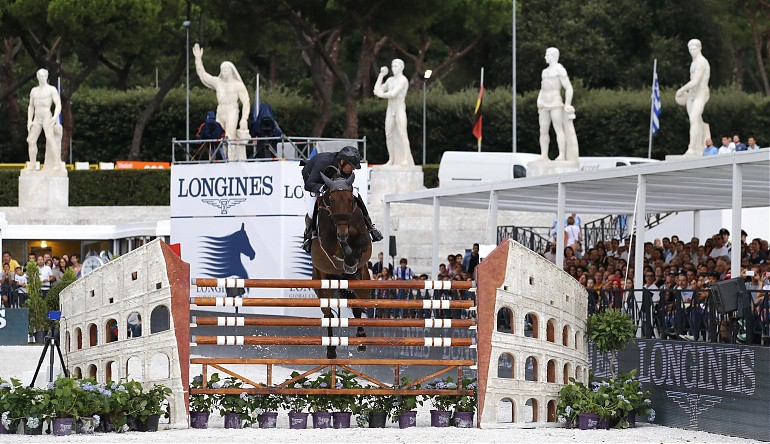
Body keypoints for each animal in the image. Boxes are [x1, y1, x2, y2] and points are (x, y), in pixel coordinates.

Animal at [310, 168, 374, 360]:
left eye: (350, 200)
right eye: (331, 200)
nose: (342, 230)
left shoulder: (362, 234)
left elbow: (361, 240)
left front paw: (351, 261)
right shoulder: (328, 241)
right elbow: (339, 245)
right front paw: (346, 258)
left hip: (363, 283)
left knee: (358, 307)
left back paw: (361, 339)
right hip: (323, 286)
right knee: (329, 314)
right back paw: (331, 350)